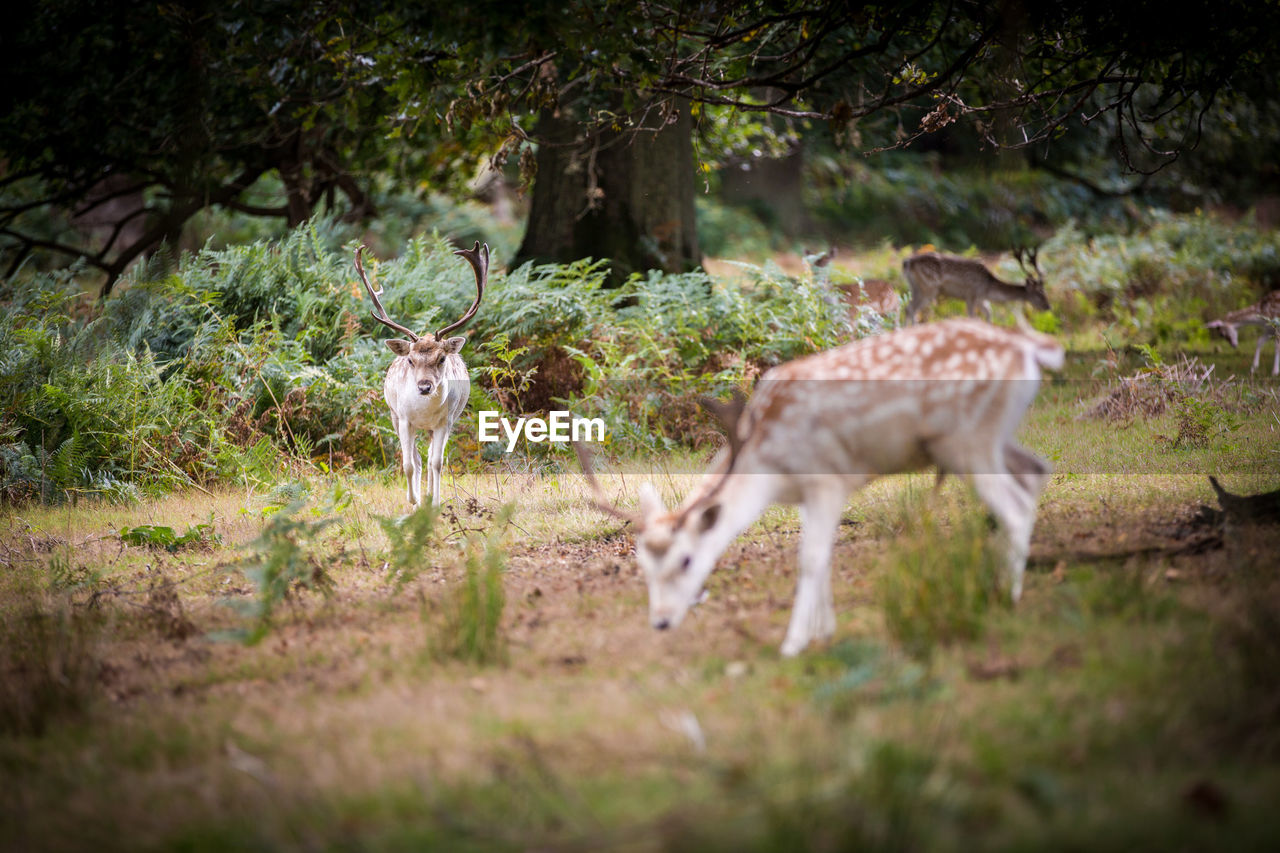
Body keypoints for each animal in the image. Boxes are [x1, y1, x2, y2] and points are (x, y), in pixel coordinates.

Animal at [358, 239, 486, 504]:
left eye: (442, 358)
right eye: (410, 360)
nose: (425, 386)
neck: (425, 411)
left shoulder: (444, 422)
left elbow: (436, 463)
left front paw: (434, 501)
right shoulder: (404, 419)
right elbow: (408, 464)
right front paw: (413, 500)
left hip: (445, 422)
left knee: (429, 458)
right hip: (395, 416)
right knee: (416, 459)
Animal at [578, 315, 1059, 653]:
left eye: (686, 560)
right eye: (642, 566)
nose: (660, 622)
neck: (770, 467)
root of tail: (1031, 349)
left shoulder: (828, 478)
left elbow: (810, 559)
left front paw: (793, 644)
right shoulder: (809, 496)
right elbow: (820, 557)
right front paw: (824, 633)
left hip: (967, 440)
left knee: (1015, 506)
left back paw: (1006, 598)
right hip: (989, 438)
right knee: (1036, 472)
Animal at [901, 249, 1049, 325]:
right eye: (1040, 293)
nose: (1048, 307)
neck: (989, 288)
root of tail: (908, 262)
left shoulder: (981, 300)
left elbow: (989, 314)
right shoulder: (971, 295)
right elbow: (971, 317)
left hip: (915, 287)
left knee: (908, 308)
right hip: (928, 288)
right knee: (912, 309)